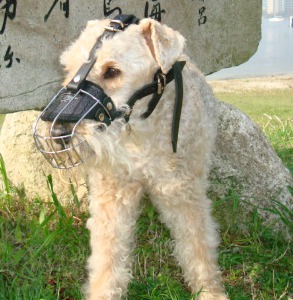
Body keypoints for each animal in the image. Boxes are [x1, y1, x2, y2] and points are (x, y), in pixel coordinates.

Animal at [32, 13, 228, 300]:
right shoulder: (112, 193)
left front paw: (209, 291)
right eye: (68, 70)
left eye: (112, 71)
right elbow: (108, 253)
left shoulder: (183, 192)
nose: (57, 134)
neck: (140, 130)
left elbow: (197, 245)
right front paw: (103, 292)